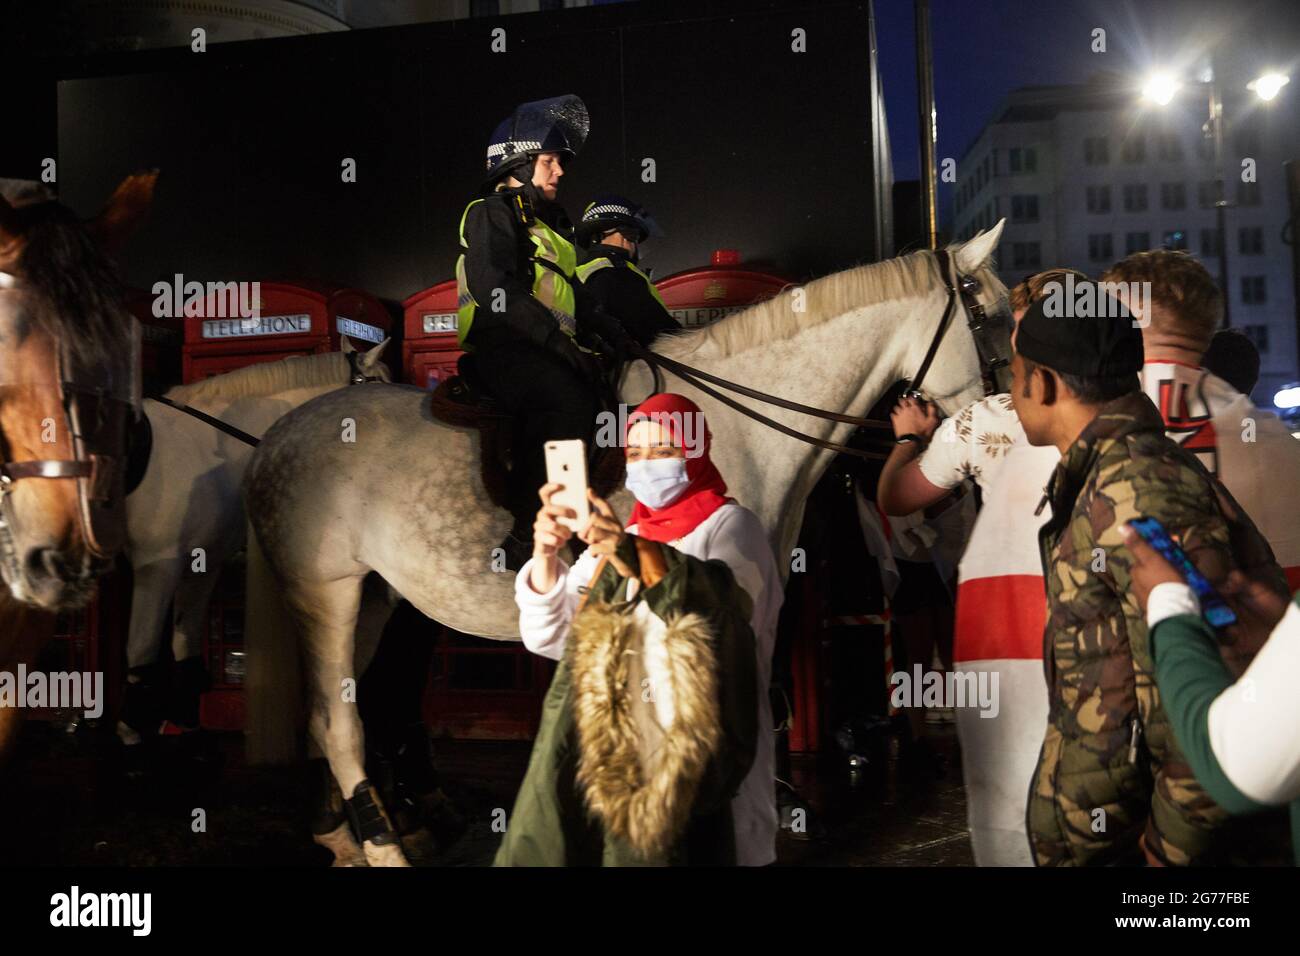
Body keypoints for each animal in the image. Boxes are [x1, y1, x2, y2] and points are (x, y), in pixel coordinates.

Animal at [119, 340, 387, 743]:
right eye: (382, 387)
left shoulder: (203, 564)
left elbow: (184, 643)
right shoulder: (157, 567)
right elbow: (142, 651)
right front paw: (131, 731)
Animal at [245, 226, 1013, 868]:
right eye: (993, 319)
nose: (1015, 424)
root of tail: (275, 439)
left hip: (376, 599)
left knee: (338, 708)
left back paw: (343, 832)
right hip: (327, 594)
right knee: (336, 719)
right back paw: (381, 848)